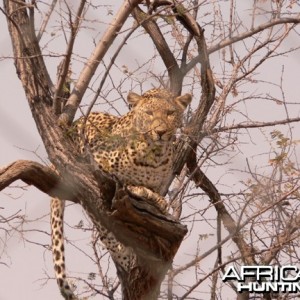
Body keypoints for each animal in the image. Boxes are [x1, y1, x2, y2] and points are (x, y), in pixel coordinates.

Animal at [50, 88, 191, 298]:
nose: (160, 132)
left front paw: (157, 200)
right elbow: (124, 184)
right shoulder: (96, 165)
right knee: (102, 225)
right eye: (149, 113)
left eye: (170, 113)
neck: (155, 155)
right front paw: (140, 189)